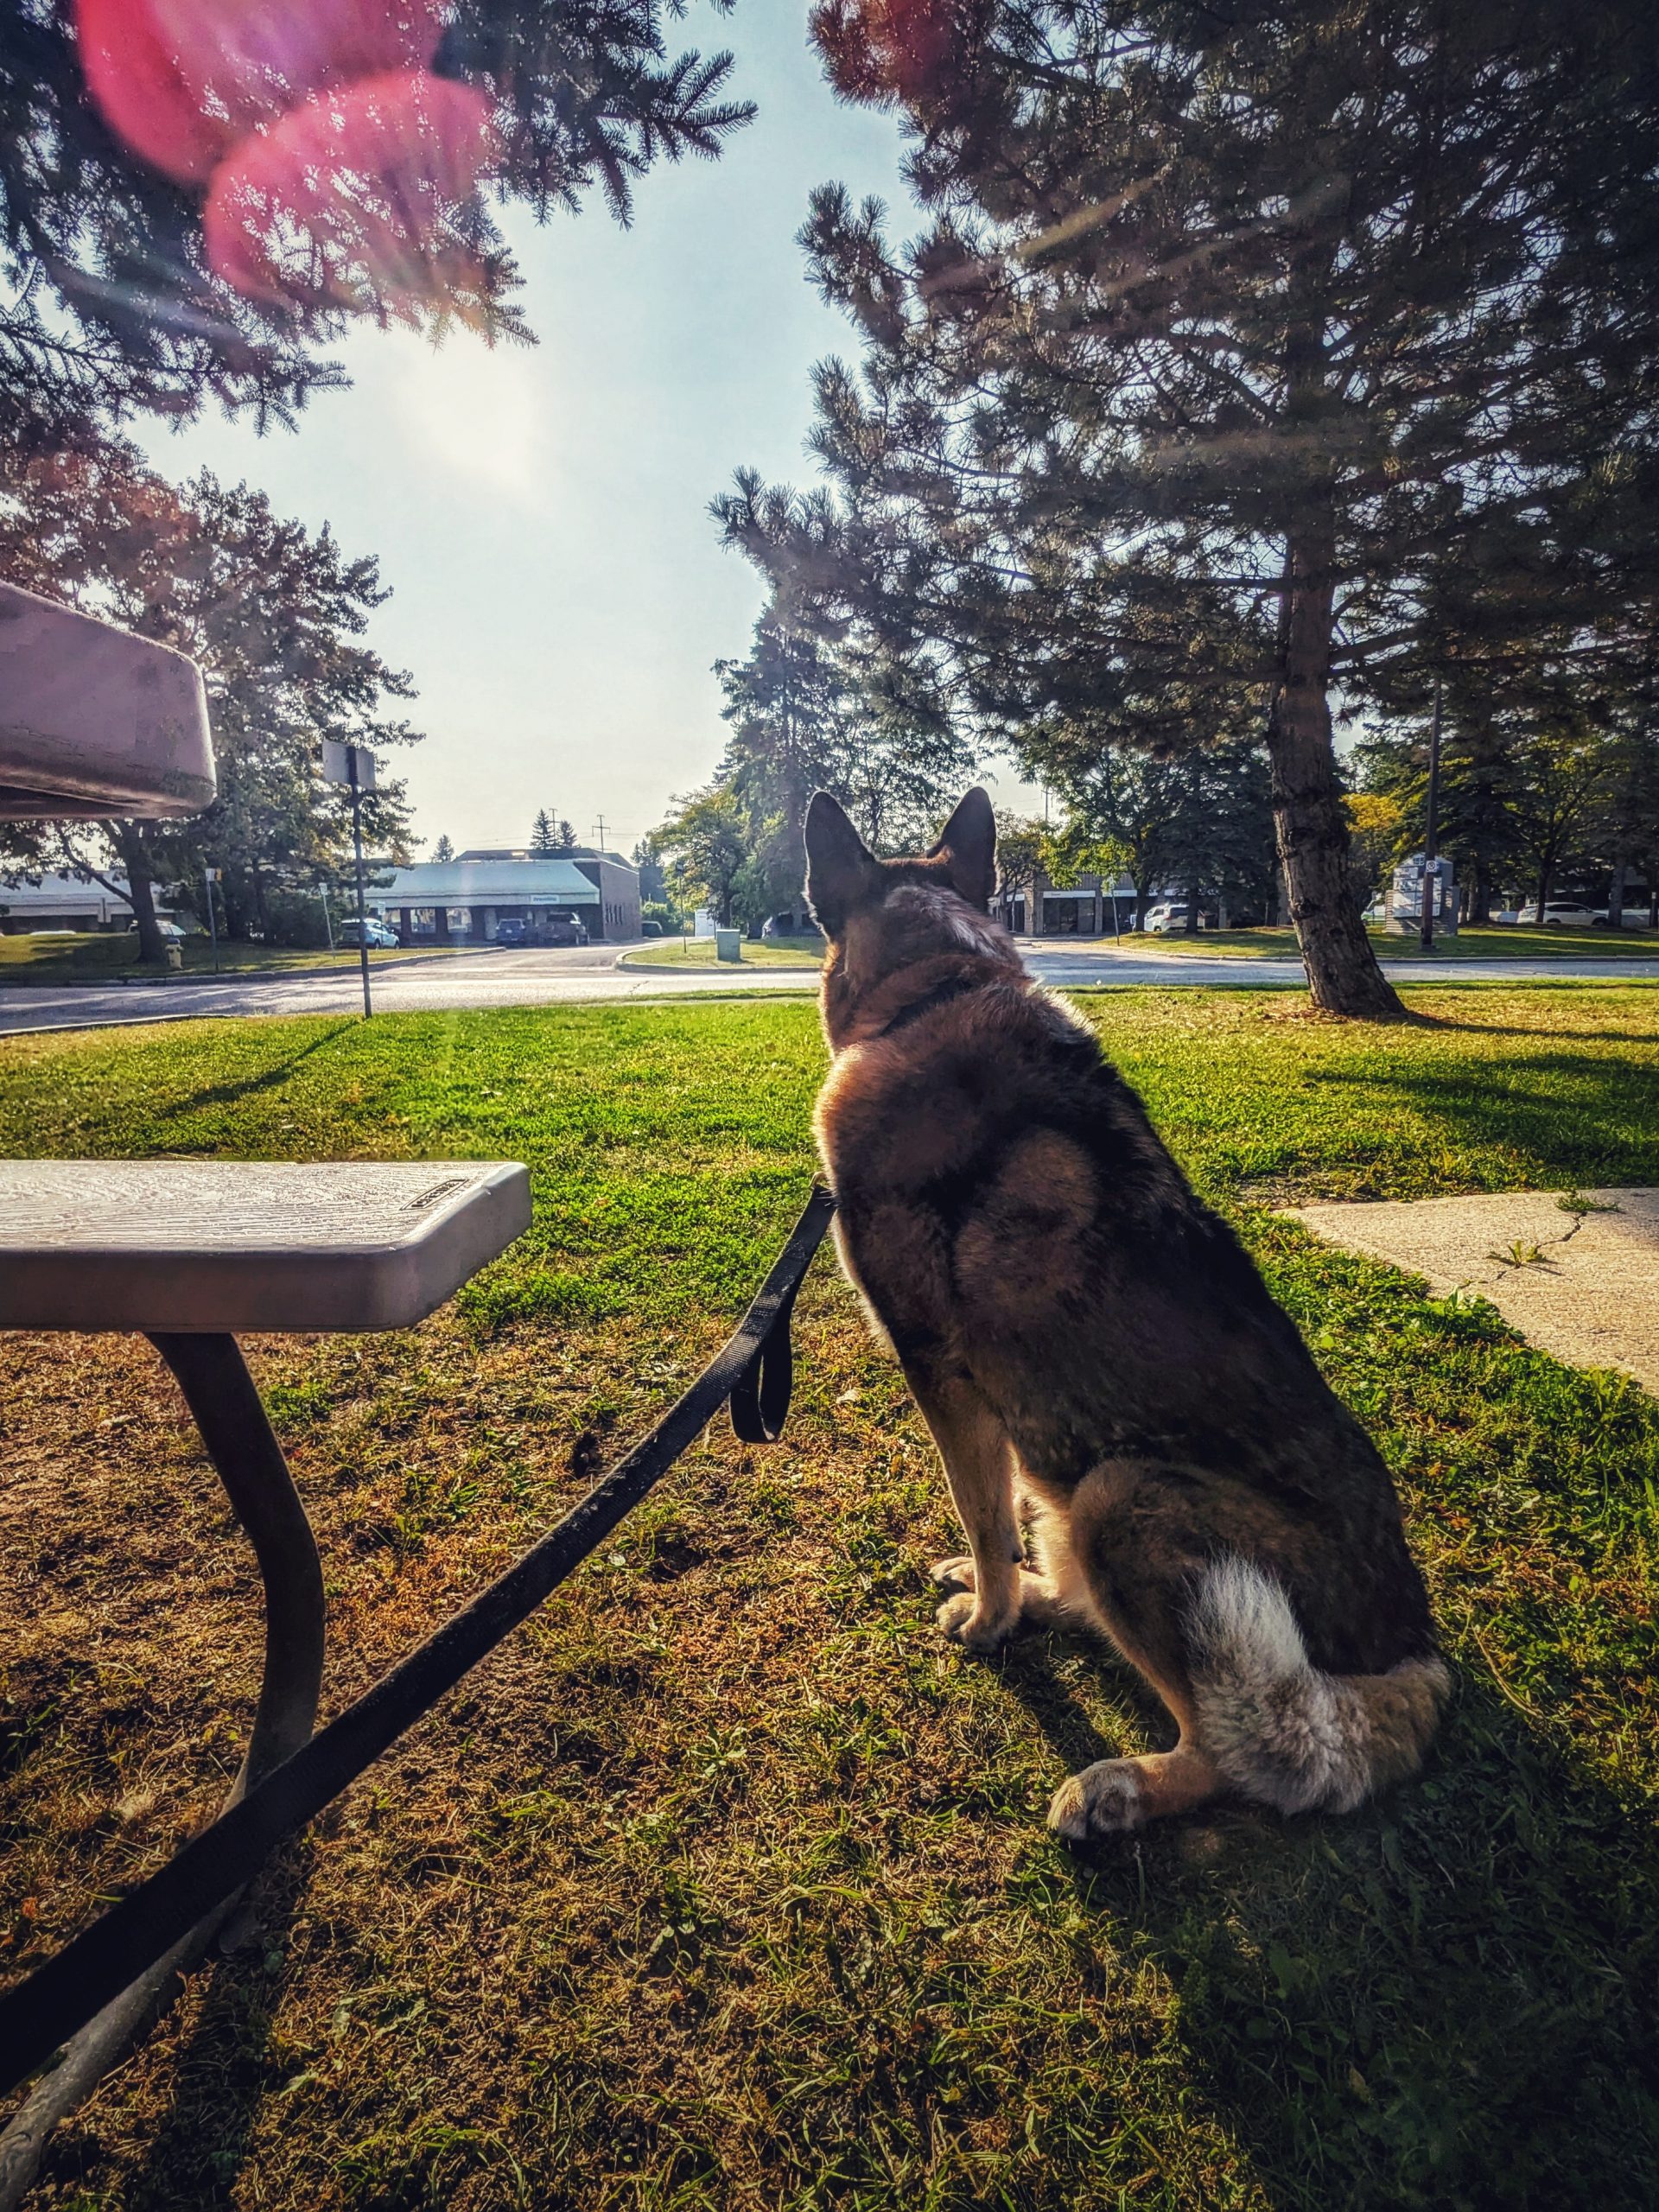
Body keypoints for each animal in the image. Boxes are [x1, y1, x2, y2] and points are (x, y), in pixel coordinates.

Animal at [804, 786, 1448, 1842]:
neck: (935, 989)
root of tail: (1414, 1659)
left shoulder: (940, 1371)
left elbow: (981, 1511)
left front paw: (989, 1623)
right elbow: (997, 1520)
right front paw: (999, 1597)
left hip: (1120, 1489)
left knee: (1233, 1754)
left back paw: (1123, 1784)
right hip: (1076, 1484)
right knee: (1084, 1592)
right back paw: (1044, 1599)